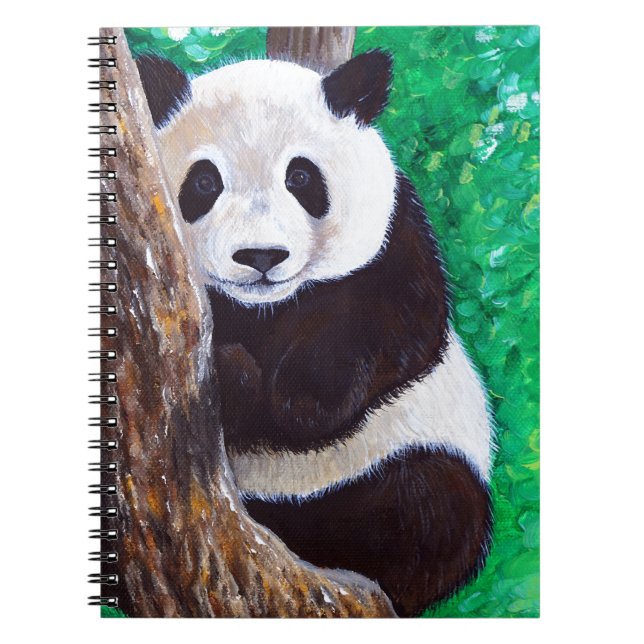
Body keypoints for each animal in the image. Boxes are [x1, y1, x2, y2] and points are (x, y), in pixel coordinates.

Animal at [135, 49, 493, 617]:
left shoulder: (393, 237)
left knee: (429, 509)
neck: (264, 311)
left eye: (301, 177)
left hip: (412, 452)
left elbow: (393, 324)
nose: (260, 256)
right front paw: (234, 374)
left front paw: (288, 396)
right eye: (205, 182)